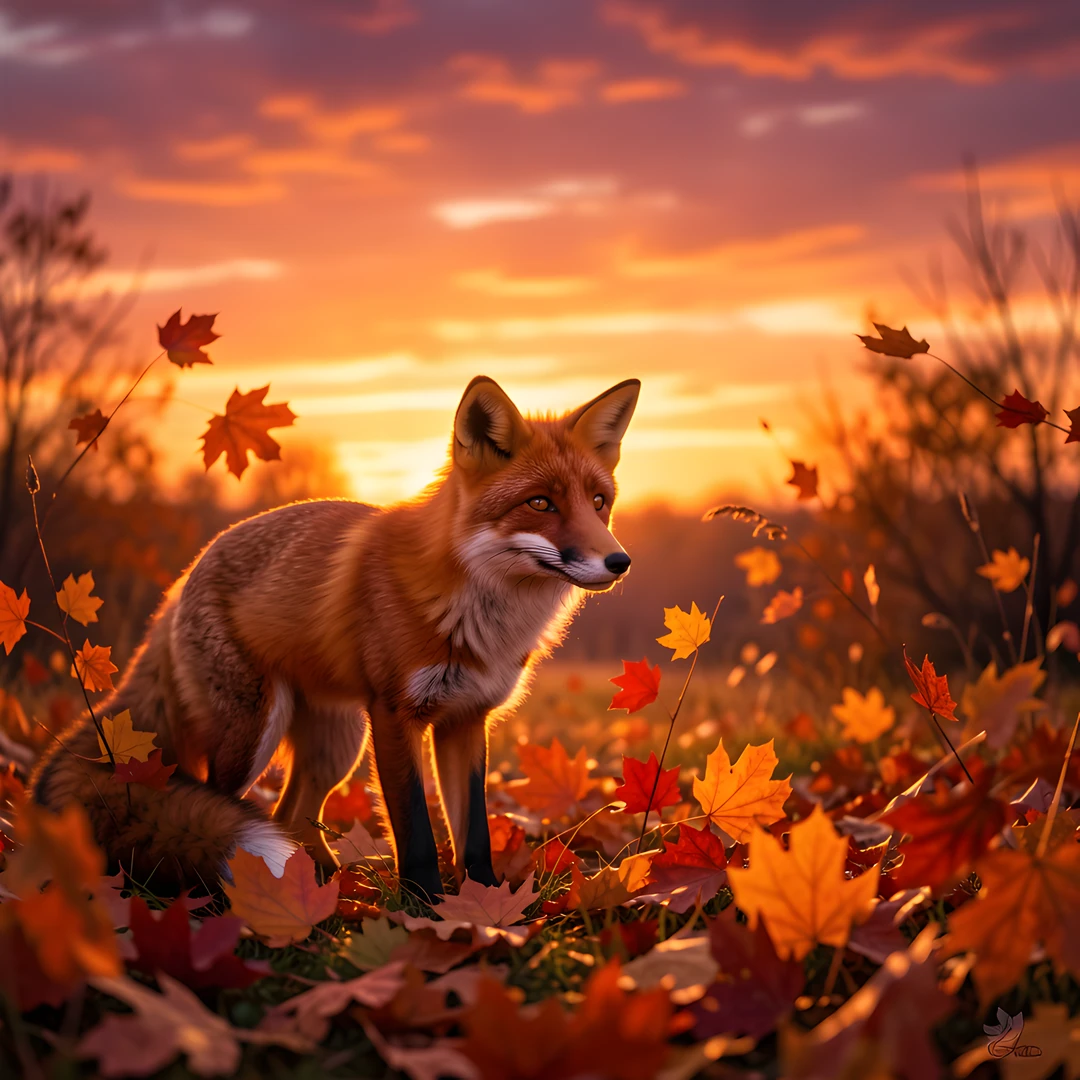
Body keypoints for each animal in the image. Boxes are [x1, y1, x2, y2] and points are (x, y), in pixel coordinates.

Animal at [33, 375, 640, 899]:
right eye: (540, 503)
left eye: (599, 502)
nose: (620, 562)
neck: (477, 616)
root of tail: (182, 580)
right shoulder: (396, 715)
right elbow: (416, 832)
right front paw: (425, 908)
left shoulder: (467, 719)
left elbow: (474, 835)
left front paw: (485, 905)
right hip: (255, 733)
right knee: (226, 805)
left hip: (336, 744)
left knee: (290, 818)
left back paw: (328, 887)